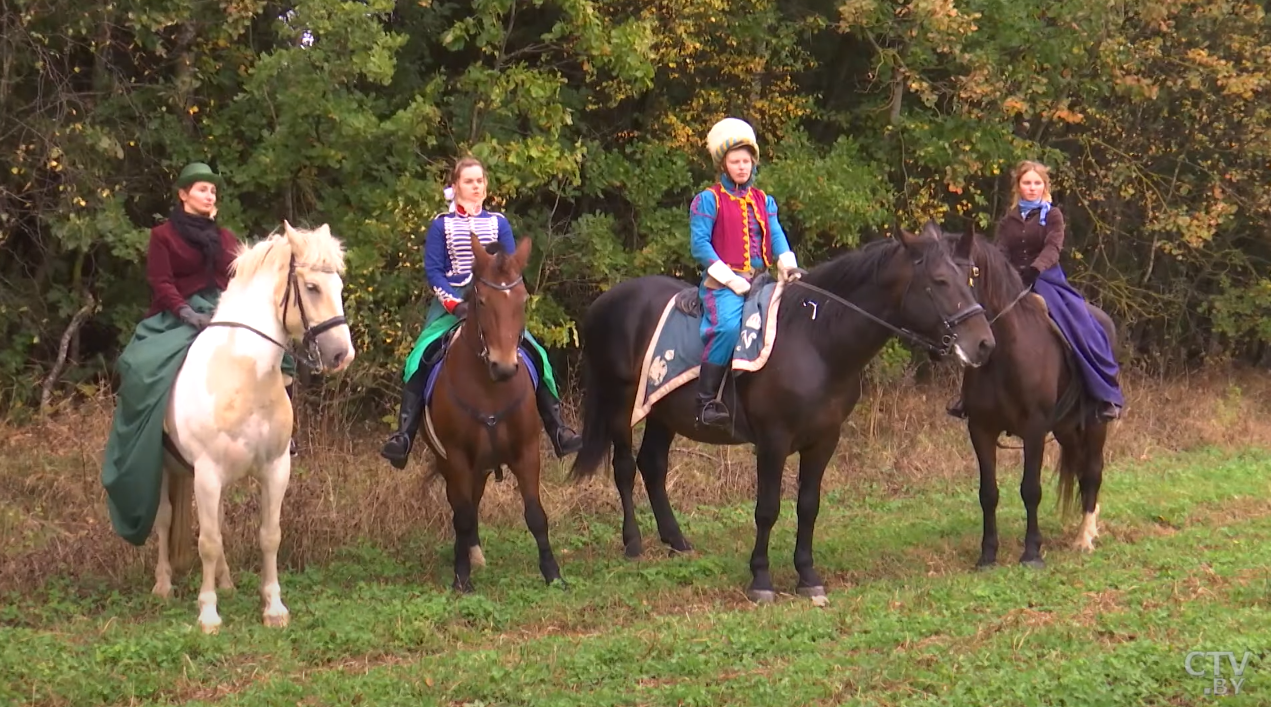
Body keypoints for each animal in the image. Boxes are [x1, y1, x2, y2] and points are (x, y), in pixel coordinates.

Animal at [152, 222, 353, 635]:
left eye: (339, 286)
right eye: (312, 287)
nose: (343, 355)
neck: (243, 374)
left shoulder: (276, 468)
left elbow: (269, 535)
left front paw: (274, 608)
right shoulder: (207, 473)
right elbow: (208, 541)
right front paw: (208, 614)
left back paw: (226, 582)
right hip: (167, 465)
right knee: (165, 518)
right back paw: (163, 585)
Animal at [416, 233, 561, 590]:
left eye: (522, 300)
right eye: (481, 301)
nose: (504, 366)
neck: (490, 389)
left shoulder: (527, 452)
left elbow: (536, 514)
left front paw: (553, 573)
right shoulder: (456, 456)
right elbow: (463, 515)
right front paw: (461, 578)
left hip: (480, 466)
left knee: (473, 500)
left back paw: (474, 553)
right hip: (451, 462)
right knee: (461, 507)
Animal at [571, 223, 996, 605]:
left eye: (969, 277)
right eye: (940, 281)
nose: (984, 343)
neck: (815, 340)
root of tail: (603, 303)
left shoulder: (824, 440)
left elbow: (808, 506)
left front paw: (807, 576)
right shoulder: (772, 442)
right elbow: (767, 509)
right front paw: (761, 578)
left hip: (663, 411)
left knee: (653, 465)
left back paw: (676, 540)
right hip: (620, 404)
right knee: (625, 467)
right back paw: (633, 543)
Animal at [940, 226, 1118, 569]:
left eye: (972, 272)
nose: (967, 340)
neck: (1004, 355)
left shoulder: (1034, 429)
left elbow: (1031, 490)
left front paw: (1032, 552)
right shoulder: (981, 429)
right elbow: (988, 493)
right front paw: (988, 554)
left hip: (1095, 425)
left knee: (1093, 471)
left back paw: (1085, 537)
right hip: (1065, 428)